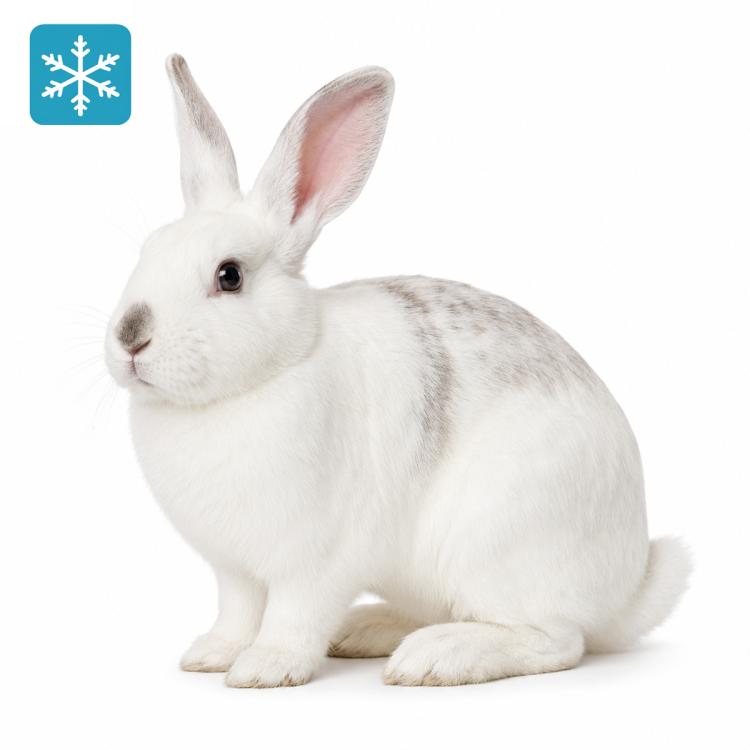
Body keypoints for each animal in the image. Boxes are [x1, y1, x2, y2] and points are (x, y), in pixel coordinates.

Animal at [104, 54, 691, 688]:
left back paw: (433, 657)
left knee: (554, 641)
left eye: (229, 275)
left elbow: (291, 617)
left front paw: (265, 668)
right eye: (148, 251)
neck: (257, 381)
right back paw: (365, 631)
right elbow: (236, 612)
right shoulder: (233, 570)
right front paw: (211, 655)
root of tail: (625, 591)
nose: (130, 338)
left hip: (497, 543)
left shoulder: (313, 562)